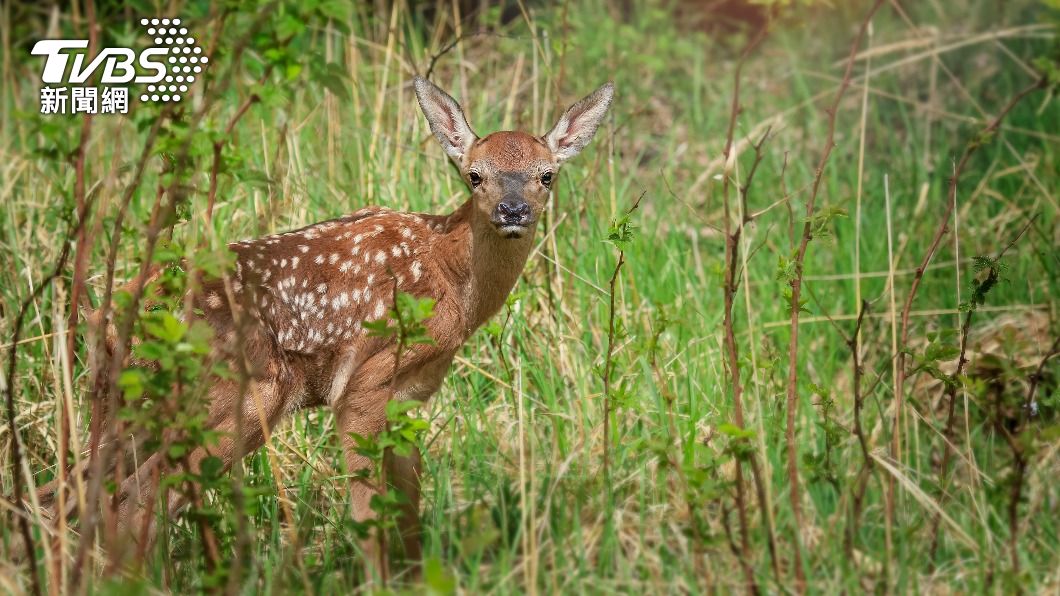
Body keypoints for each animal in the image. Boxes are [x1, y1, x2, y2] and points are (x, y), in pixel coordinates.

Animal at [35, 76, 614, 573]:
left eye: (547, 175)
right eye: (474, 175)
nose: (513, 210)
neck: (451, 277)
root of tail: (109, 318)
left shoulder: (408, 396)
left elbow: (408, 508)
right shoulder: (361, 385)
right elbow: (368, 515)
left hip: (130, 409)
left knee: (77, 495)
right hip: (243, 394)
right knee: (138, 498)